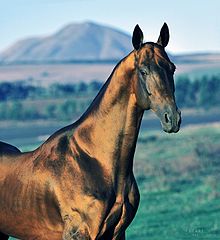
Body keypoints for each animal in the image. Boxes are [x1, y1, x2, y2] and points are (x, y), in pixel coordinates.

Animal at [0, 23, 180, 240]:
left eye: (172, 68)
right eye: (143, 70)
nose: (172, 118)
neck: (95, 160)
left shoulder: (117, 233)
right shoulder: (78, 234)